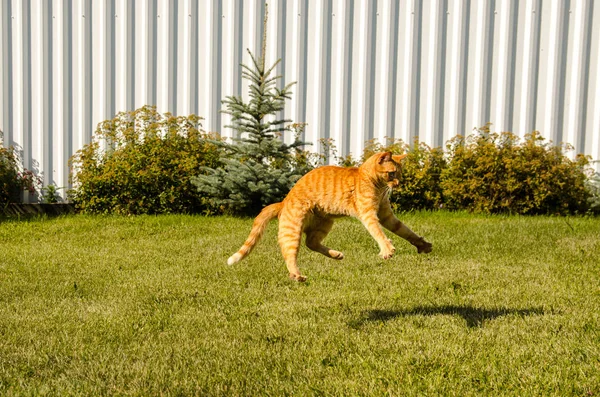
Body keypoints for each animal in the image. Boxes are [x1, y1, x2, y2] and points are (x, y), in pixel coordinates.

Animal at [229, 150, 432, 280]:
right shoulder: (369, 214)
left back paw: (336, 255)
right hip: (293, 230)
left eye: (400, 174)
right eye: (392, 174)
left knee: (311, 243)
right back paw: (297, 275)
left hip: (324, 223)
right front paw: (387, 250)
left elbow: (406, 231)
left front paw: (422, 245)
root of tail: (284, 201)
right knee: (290, 254)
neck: (371, 181)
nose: (398, 184)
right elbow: (379, 234)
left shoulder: (386, 215)